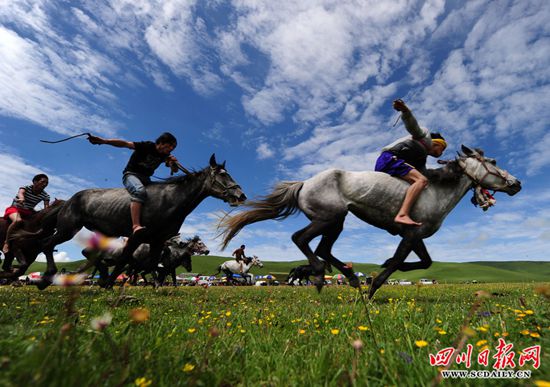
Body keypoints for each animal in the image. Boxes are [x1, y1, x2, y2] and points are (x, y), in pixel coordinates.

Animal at [11, 153, 246, 290]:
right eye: (223, 175)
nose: (241, 195)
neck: (171, 199)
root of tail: (68, 201)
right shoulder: (137, 235)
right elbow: (128, 260)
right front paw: (108, 284)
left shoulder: (157, 240)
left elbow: (150, 265)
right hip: (68, 228)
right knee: (47, 244)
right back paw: (45, 278)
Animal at [220, 146, 520, 298]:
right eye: (494, 161)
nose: (517, 184)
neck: (435, 191)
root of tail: (304, 183)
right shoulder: (410, 236)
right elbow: (398, 263)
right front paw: (374, 286)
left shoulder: (416, 237)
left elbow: (424, 262)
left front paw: (377, 271)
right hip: (329, 218)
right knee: (302, 240)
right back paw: (320, 275)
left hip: (336, 222)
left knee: (322, 249)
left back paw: (350, 277)